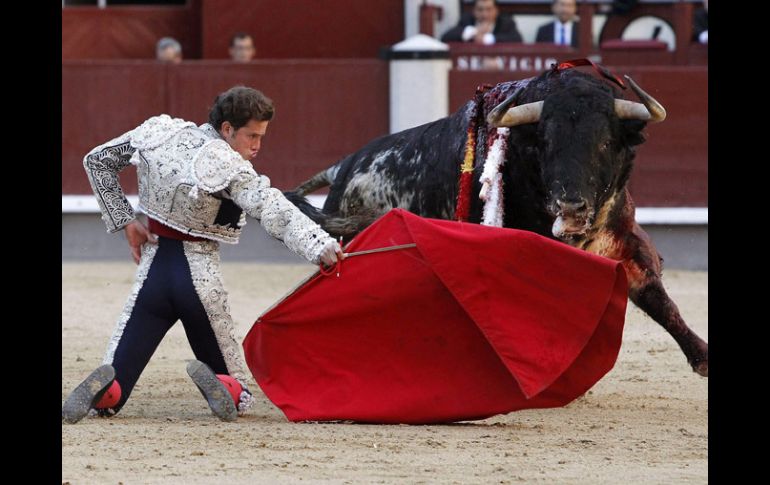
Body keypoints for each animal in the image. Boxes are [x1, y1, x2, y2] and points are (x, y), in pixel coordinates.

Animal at [286, 64, 708, 376]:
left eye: (605, 142)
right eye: (545, 143)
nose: (571, 207)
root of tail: (345, 165)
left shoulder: (624, 245)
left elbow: (658, 299)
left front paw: (702, 356)